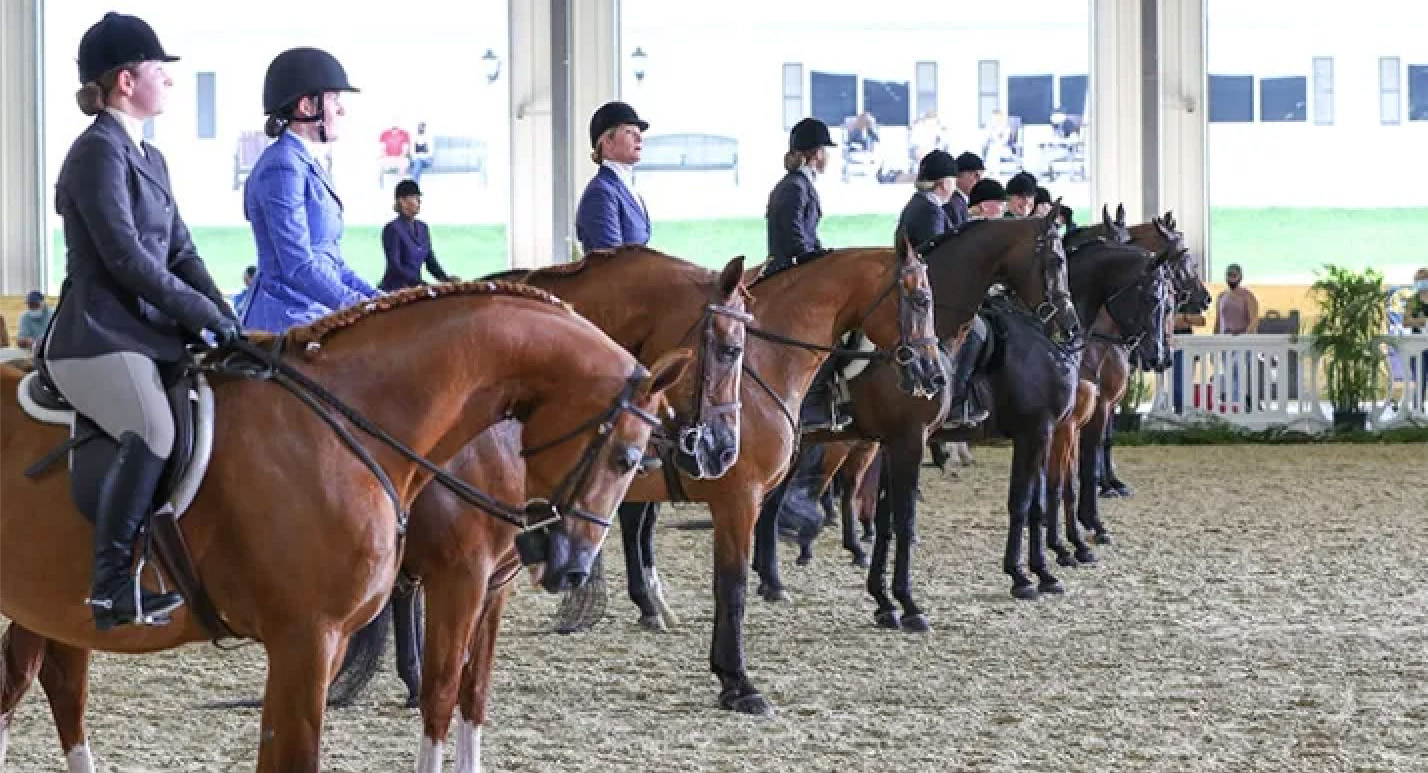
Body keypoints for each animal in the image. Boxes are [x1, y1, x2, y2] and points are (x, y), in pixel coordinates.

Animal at [0, 281, 691, 771]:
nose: (570, 565)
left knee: (51, 684)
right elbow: (439, 696)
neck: (350, 424)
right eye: (628, 457)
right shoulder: (332, 629)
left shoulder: (472, 594)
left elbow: (470, 699)